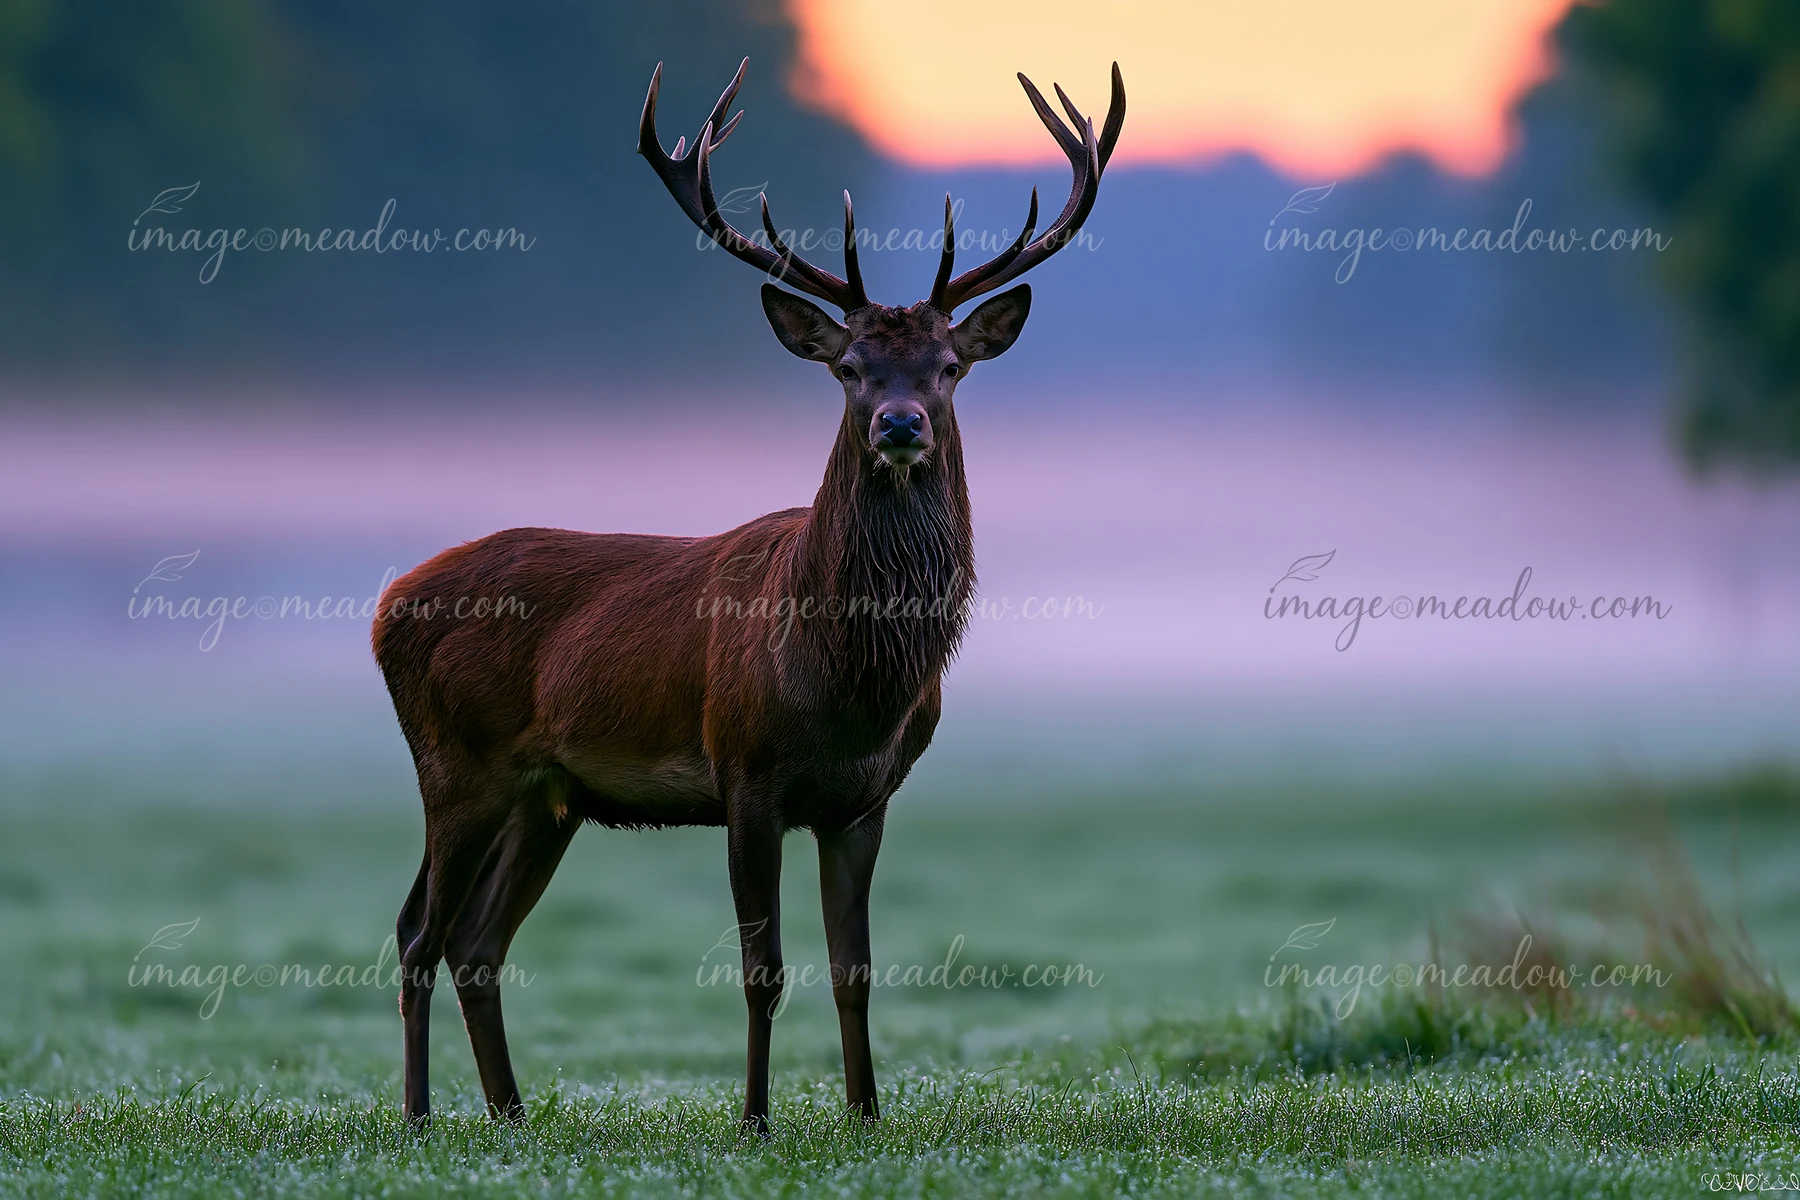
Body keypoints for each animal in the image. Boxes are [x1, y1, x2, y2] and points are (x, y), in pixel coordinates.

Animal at [372, 56, 1124, 1132]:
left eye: (948, 367)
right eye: (849, 367)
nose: (901, 425)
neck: (850, 682)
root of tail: (386, 606)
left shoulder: (864, 800)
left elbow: (855, 969)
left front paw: (866, 1114)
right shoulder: (745, 770)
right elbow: (762, 968)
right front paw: (757, 1119)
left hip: (547, 796)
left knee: (477, 941)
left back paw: (510, 1115)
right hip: (455, 761)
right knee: (416, 931)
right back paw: (420, 1116)